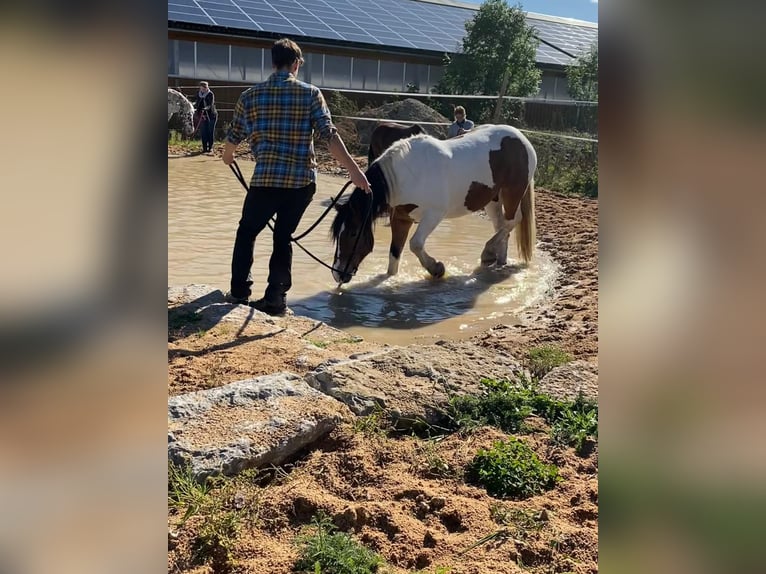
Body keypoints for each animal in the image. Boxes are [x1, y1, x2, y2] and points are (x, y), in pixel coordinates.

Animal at [332, 127, 540, 286]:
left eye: (352, 233)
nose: (337, 274)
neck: (407, 175)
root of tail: (521, 139)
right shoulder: (400, 218)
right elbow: (394, 254)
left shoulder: (434, 215)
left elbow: (415, 244)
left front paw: (436, 269)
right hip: (492, 199)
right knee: (501, 226)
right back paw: (499, 261)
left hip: (512, 193)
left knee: (513, 220)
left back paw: (488, 253)